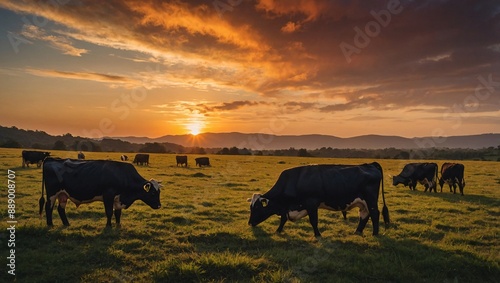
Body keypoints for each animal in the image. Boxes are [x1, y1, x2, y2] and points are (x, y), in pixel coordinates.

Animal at [248, 163, 388, 239]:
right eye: (251, 207)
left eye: (257, 207)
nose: (249, 223)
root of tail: (369, 165)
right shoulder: (286, 208)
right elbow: (283, 219)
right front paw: (278, 230)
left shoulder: (311, 203)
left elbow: (313, 221)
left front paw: (318, 235)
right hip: (363, 202)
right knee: (364, 215)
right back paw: (357, 231)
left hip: (371, 199)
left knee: (374, 214)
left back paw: (375, 233)